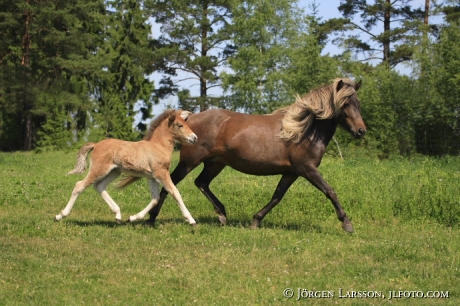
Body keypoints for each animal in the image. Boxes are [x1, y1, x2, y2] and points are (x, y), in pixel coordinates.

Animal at [54, 109, 198, 225]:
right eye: (179, 125)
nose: (194, 138)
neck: (157, 146)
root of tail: (96, 145)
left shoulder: (152, 177)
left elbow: (155, 199)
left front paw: (133, 218)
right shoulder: (161, 173)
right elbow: (175, 192)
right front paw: (191, 220)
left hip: (114, 172)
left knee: (99, 186)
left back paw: (118, 215)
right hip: (99, 170)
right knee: (79, 185)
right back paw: (60, 215)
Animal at [118, 78, 366, 232]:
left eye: (358, 103)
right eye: (345, 104)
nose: (361, 131)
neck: (302, 130)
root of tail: (189, 120)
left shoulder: (292, 172)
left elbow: (277, 196)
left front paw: (256, 221)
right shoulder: (307, 169)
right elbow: (330, 191)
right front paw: (347, 224)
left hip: (215, 164)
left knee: (201, 182)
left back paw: (222, 214)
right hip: (190, 162)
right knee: (170, 185)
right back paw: (152, 219)